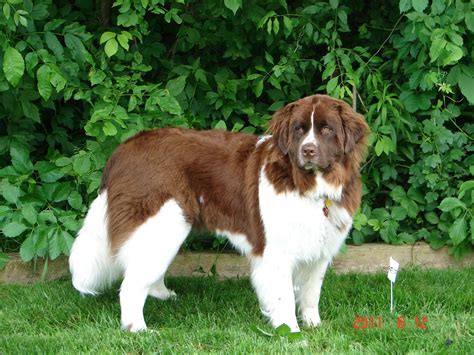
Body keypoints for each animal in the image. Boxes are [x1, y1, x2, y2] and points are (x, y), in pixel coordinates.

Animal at [68, 94, 368, 334]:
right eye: (299, 130)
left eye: (327, 129)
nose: (308, 150)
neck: (310, 185)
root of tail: (123, 149)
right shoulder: (277, 252)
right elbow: (283, 296)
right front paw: (292, 333)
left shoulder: (320, 251)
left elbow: (310, 293)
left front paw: (314, 325)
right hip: (163, 221)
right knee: (131, 283)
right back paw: (138, 330)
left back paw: (163, 295)